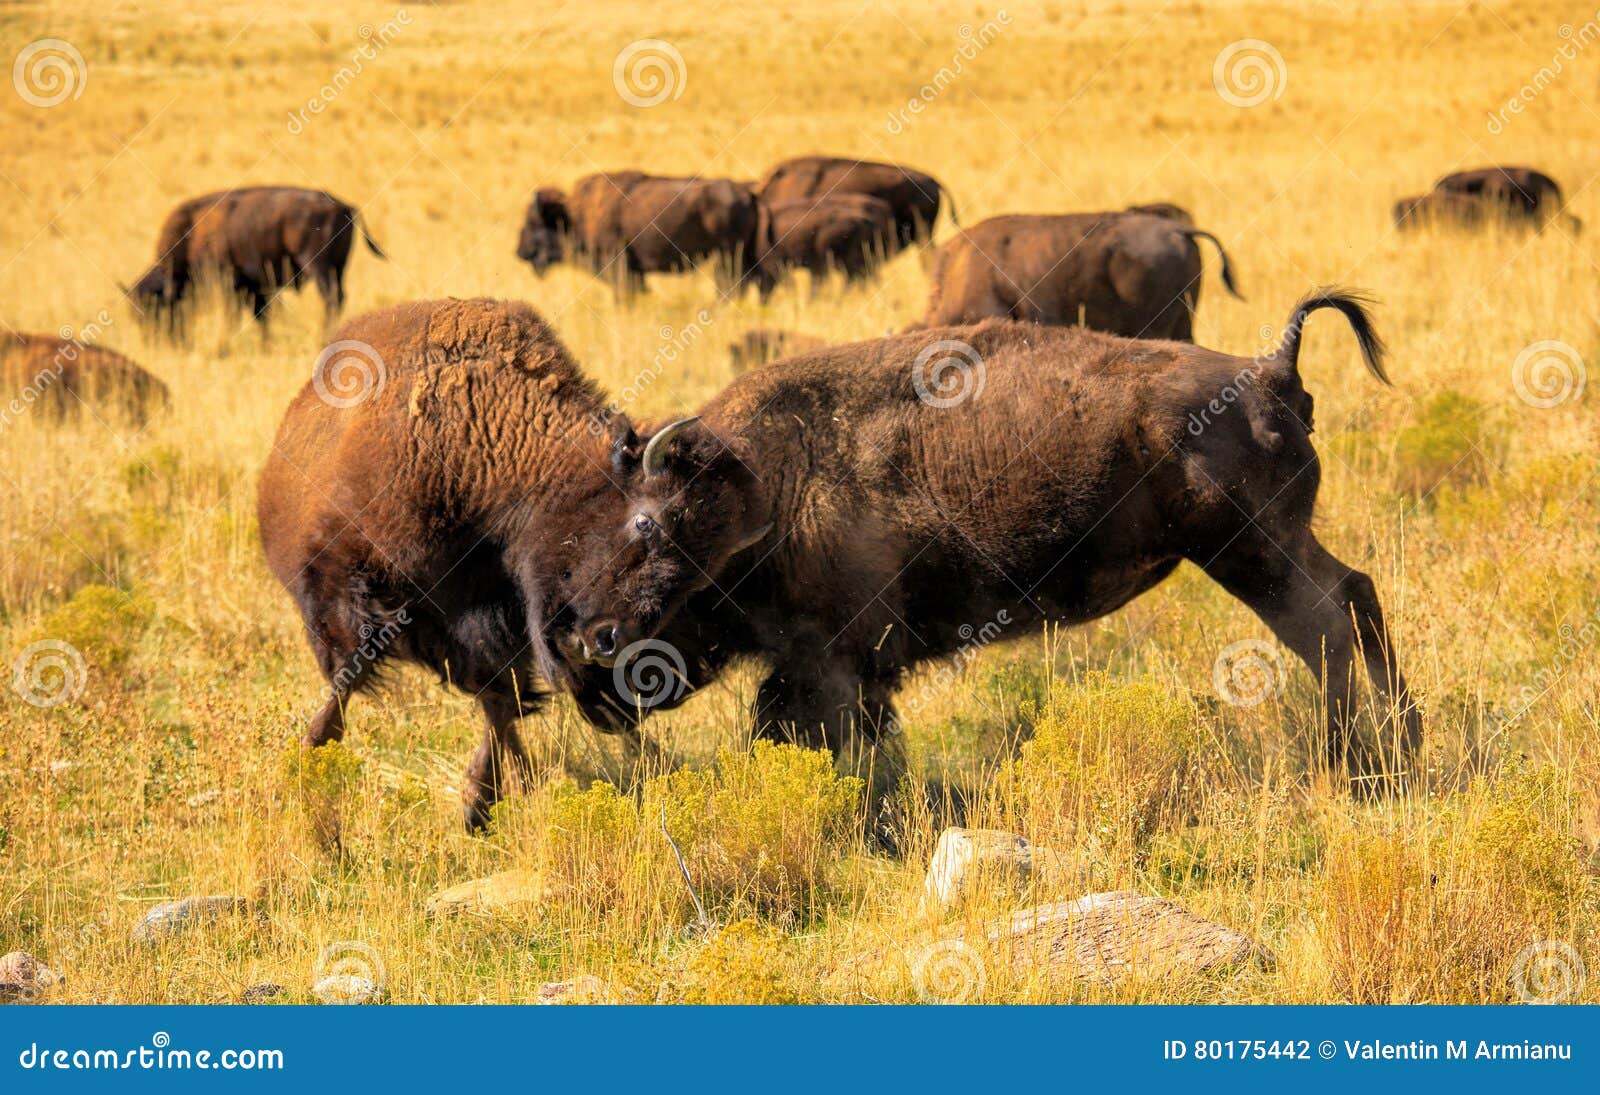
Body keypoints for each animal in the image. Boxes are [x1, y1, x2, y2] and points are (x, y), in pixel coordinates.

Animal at [126, 187, 385, 332]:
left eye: (157, 308)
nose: (157, 340)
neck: (192, 234)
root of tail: (345, 206)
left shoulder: (231, 284)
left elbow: (236, 315)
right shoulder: (254, 288)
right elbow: (261, 316)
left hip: (319, 267)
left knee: (332, 298)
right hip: (338, 268)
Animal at [518, 173, 767, 298]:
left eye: (534, 224)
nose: (520, 252)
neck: (575, 215)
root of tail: (747, 192)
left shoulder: (617, 264)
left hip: (728, 256)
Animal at [546, 290, 1421, 787]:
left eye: (648, 521)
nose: (587, 636)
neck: (763, 483)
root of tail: (1270, 368)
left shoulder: (830, 662)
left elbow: (814, 733)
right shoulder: (847, 669)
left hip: (1250, 555)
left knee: (1323, 627)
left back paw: (1353, 766)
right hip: (1275, 546)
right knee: (1355, 594)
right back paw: (1403, 744)